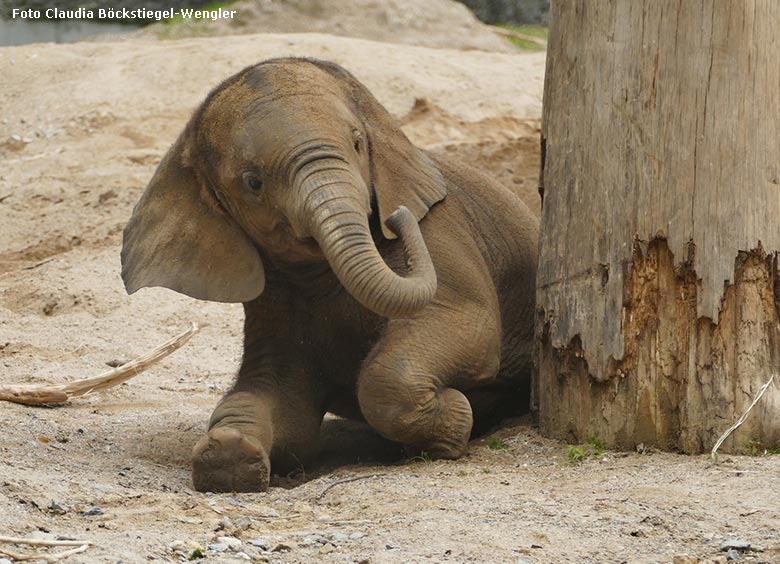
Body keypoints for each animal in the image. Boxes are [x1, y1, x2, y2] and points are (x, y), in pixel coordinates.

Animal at [120, 55, 536, 492]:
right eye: (253, 182)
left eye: (357, 142)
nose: (395, 216)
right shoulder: (272, 296)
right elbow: (281, 401)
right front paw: (229, 454)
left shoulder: (441, 229)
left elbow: (461, 322)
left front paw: (456, 420)